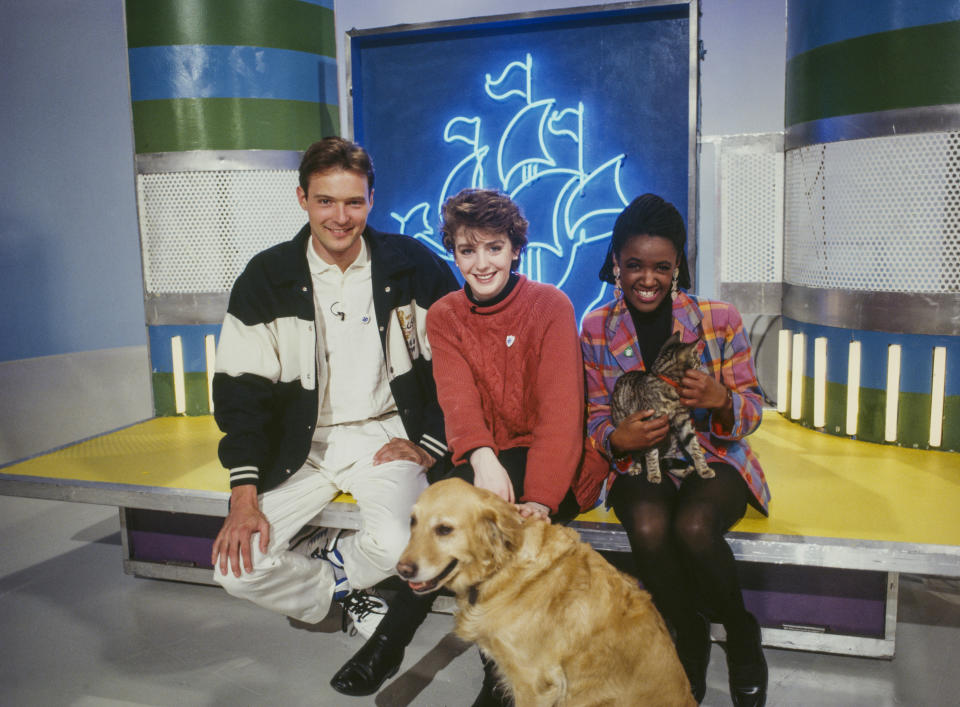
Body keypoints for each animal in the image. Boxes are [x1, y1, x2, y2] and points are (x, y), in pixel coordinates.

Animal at [616, 330, 712, 482]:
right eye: (696, 357)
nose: (701, 361)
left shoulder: (683, 421)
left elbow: (694, 446)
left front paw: (704, 469)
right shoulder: (650, 425)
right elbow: (651, 453)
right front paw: (654, 474)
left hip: (671, 439)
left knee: (666, 458)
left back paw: (682, 471)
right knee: (636, 452)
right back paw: (636, 467)